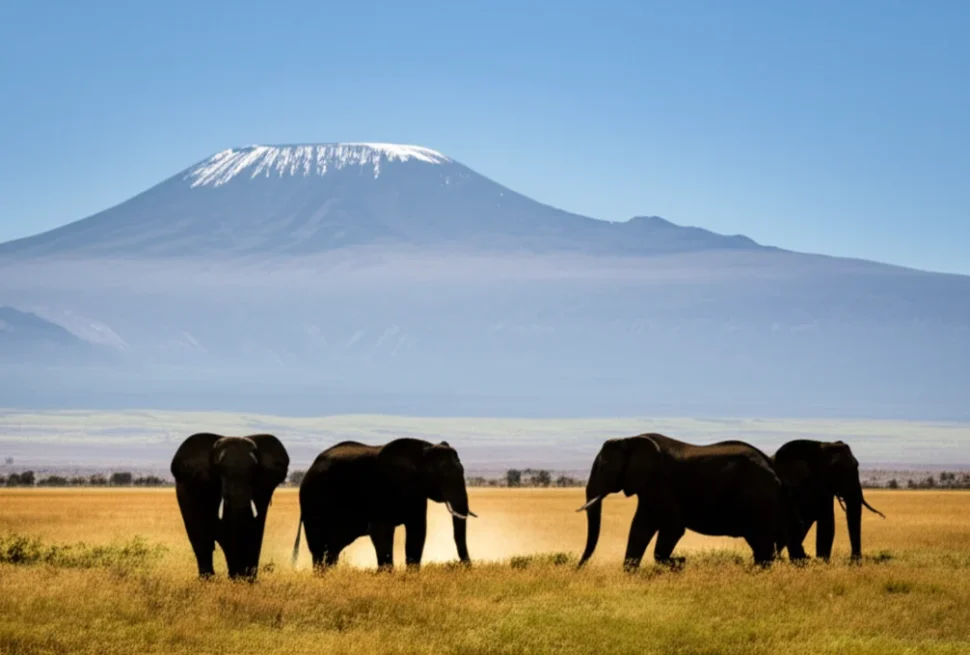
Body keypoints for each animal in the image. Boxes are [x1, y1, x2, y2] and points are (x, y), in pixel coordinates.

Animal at [170, 432, 289, 580]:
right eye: (219, 469)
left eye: (254, 470)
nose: (238, 575)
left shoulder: (262, 489)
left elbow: (255, 529)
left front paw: (247, 579)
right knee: (201, 539)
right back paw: (208, 579)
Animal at [292, 438, 475, 571]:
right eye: (441, 477)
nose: (465, 566)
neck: (423, 450)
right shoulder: (382, 488)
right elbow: (381, 531)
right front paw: (387, 576)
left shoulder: (416, 493)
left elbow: (418, 531)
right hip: (313, 502)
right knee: (319, 547)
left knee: (332, 549)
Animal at [577, 433, 800, 570]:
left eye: (604, 466)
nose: (578, 567)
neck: (631, 439)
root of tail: (773, 468)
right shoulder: (648, 488)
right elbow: (640, 529)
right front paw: (630, 575)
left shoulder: (661, 484)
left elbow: (673, 528)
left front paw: (680, 562)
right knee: (763, 545)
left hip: (758, 500)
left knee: (762, 544)